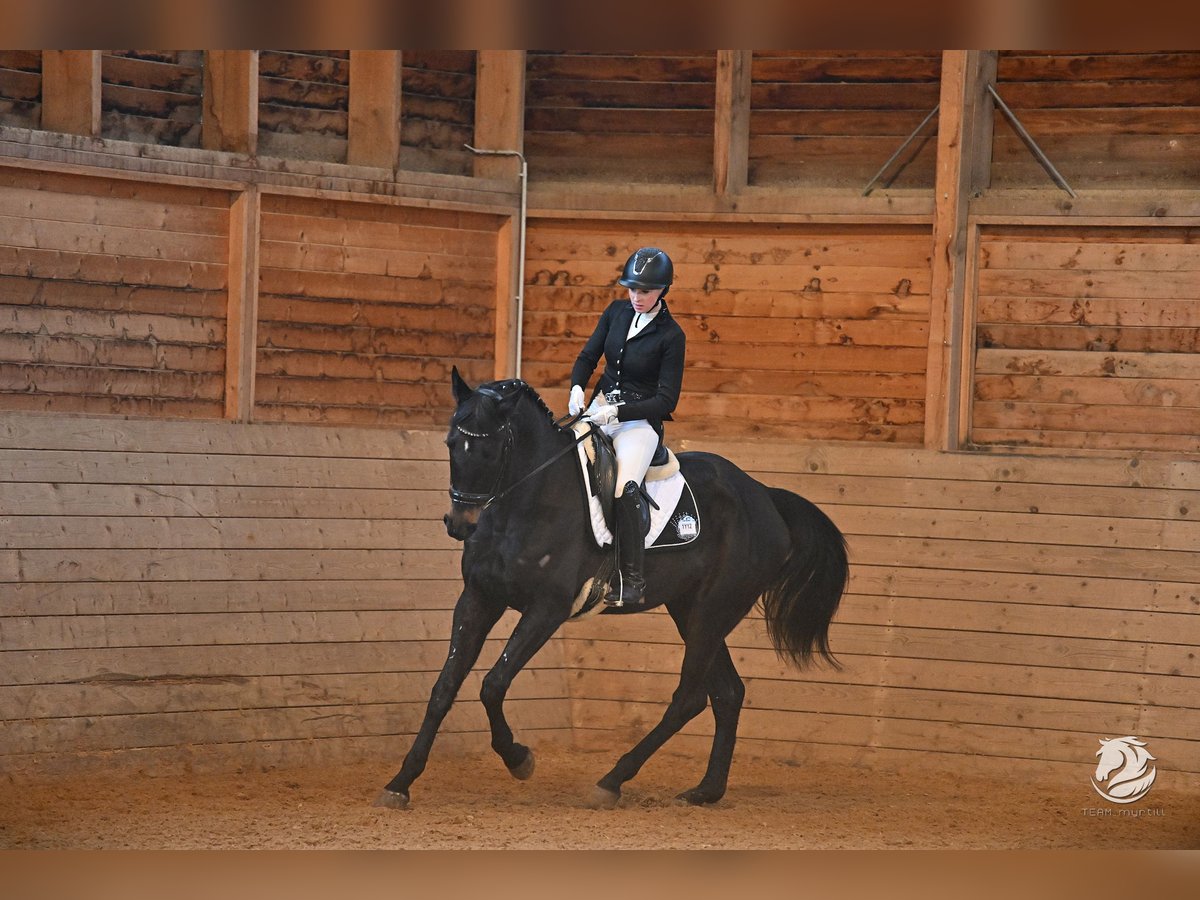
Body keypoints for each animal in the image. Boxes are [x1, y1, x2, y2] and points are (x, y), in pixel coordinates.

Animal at [376, 369, 854, 816]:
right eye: (451, 443)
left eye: (492, 449)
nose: (461, 525)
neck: (527, 501)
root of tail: (765, 496)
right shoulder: (478, 598)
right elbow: (445, 687)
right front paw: (401, 782)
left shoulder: (547, 609)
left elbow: (493, 684)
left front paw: (518, 758)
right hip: (692, 611)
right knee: (727, 693)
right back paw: (705, 791)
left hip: (711, 612)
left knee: (689, 698)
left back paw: (611, 781)